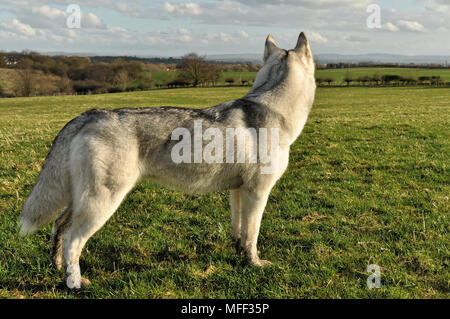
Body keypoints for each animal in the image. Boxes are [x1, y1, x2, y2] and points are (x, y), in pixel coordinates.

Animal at [19, 33, 316, 290]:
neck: (273, 108)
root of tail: (90, 114)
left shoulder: (238, 192)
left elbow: (240, 231)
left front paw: (239, 254)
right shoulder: (257, 193)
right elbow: (253, 234)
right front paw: (254, 263)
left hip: (80, 201)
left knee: (58, 227)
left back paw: (59, 267)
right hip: (101, 204)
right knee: (73, 240)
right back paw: (75, 282)